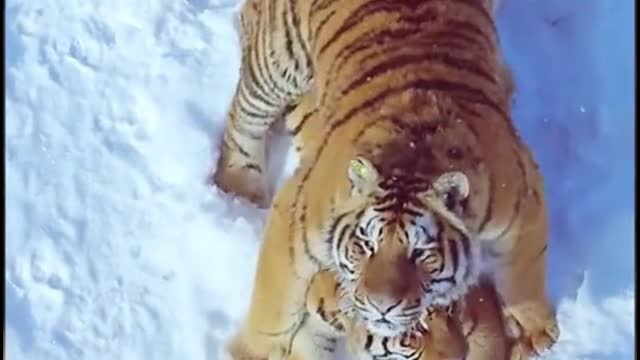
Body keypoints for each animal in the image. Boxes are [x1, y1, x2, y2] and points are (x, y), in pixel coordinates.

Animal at [211, 0, 560, 358]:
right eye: (366, 245)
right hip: (278, 58)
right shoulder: (296, 218)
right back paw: (240, 187)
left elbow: (525, 271)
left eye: (420, 253)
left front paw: (534, 330)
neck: (413, 159)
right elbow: (274, 300)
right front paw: (253, 351)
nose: (381, 307)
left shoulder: (521, 195)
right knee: (246, 115)